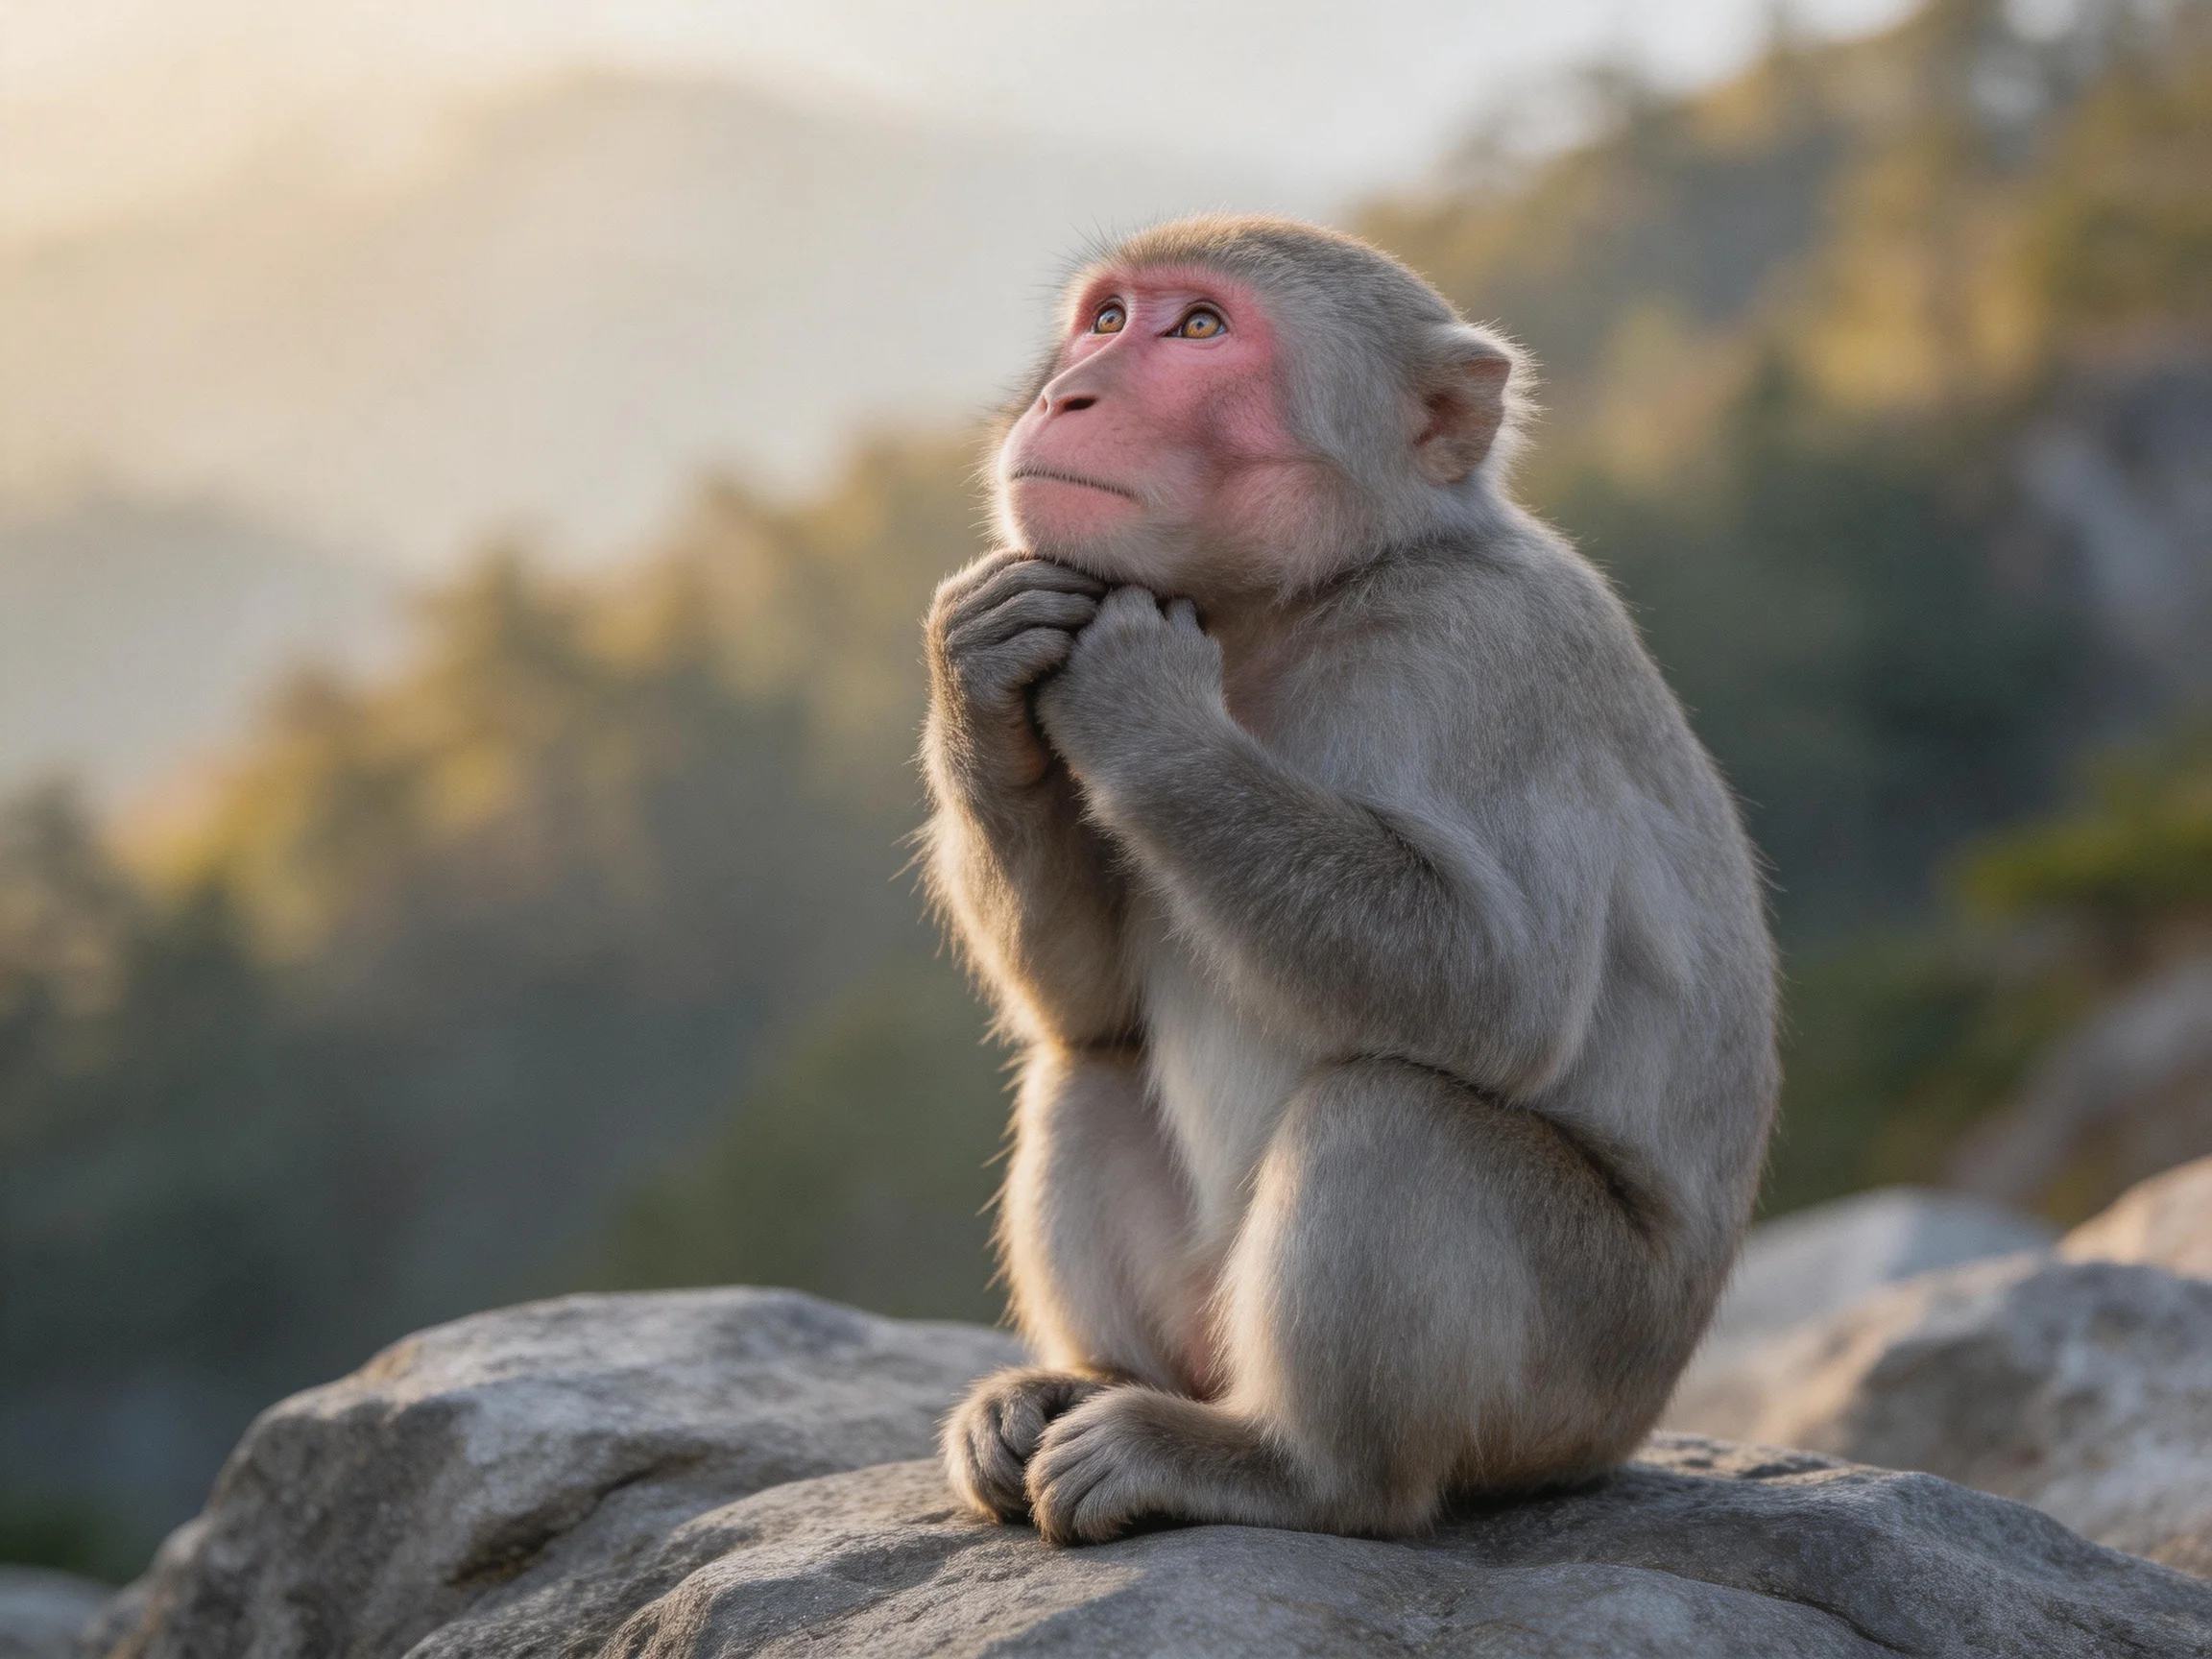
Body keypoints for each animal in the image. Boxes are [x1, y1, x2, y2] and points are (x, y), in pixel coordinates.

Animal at [920, 215, 1778, 1546]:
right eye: (1107, 321)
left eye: (1200, 329)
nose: (1068, 391)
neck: (1300, 601)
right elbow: (1092, 999)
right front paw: (978, 662)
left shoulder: (1483, 651)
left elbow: (1497, 992)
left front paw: (1144, 712)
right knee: (1089, 1067)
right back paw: (1078, 1387)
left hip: (1577, 1374)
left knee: (1394, 1115)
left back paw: (1290, 1468)